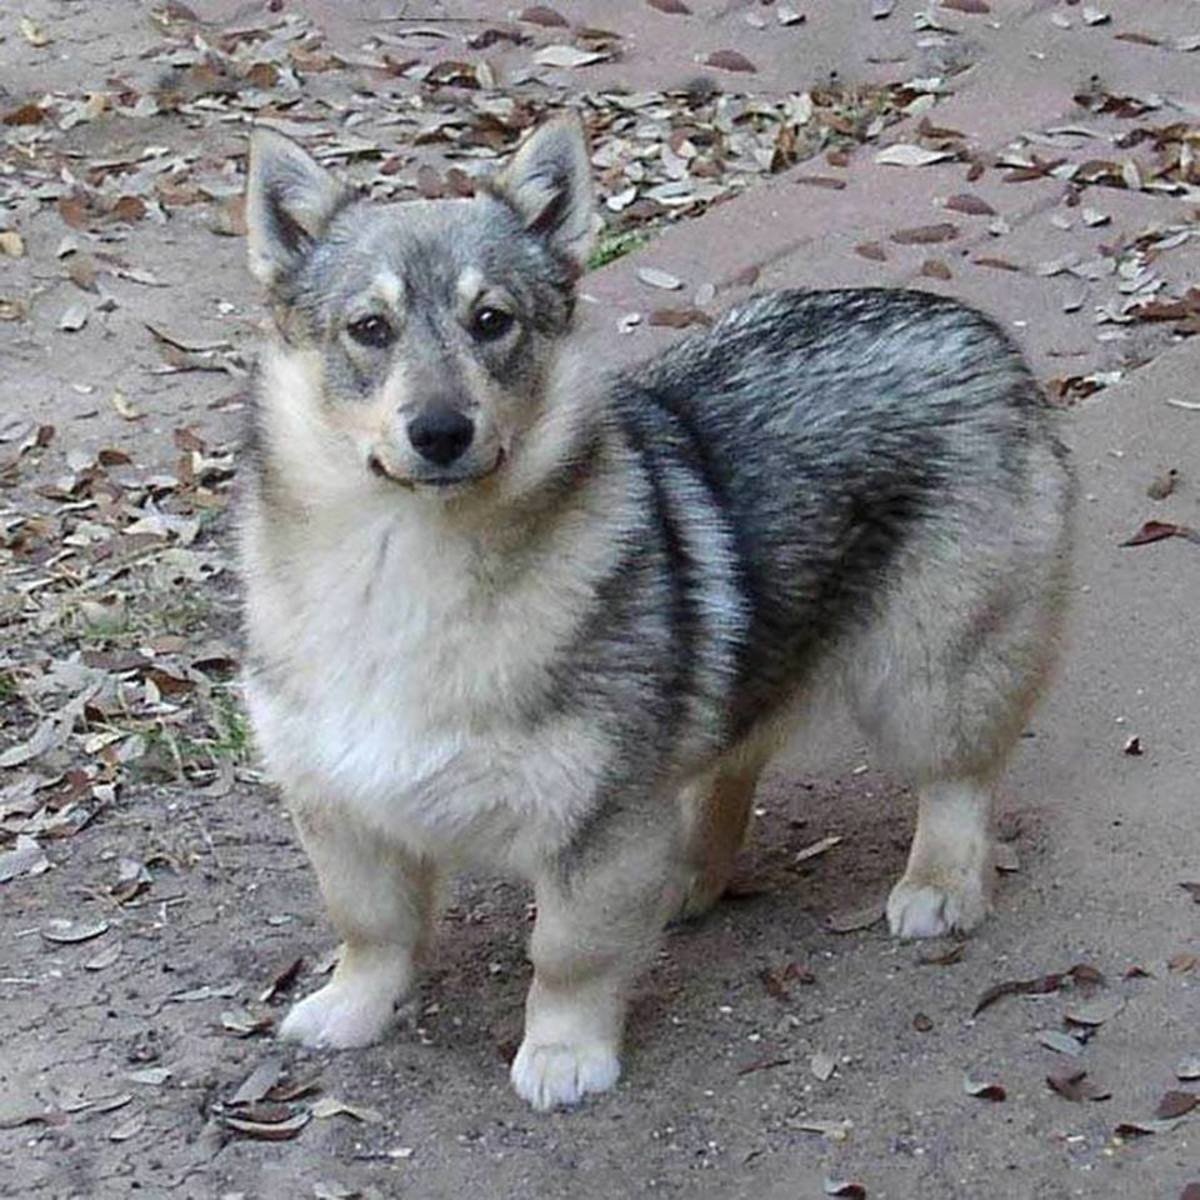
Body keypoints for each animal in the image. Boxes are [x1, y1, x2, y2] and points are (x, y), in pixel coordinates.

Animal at [239, 113, 1073, 1111]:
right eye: (370, 328)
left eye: (492, 322)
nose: (440, 432)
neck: (405, 562)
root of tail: (973, 326)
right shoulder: (338, 803)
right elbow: (372, 928)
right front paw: (354, 1008)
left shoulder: (594, 818)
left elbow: (566, 953)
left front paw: (564, 1052)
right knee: (730, 763)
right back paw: (686, 874)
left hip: (928, 676)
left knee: (956, 781)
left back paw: (940, 883)